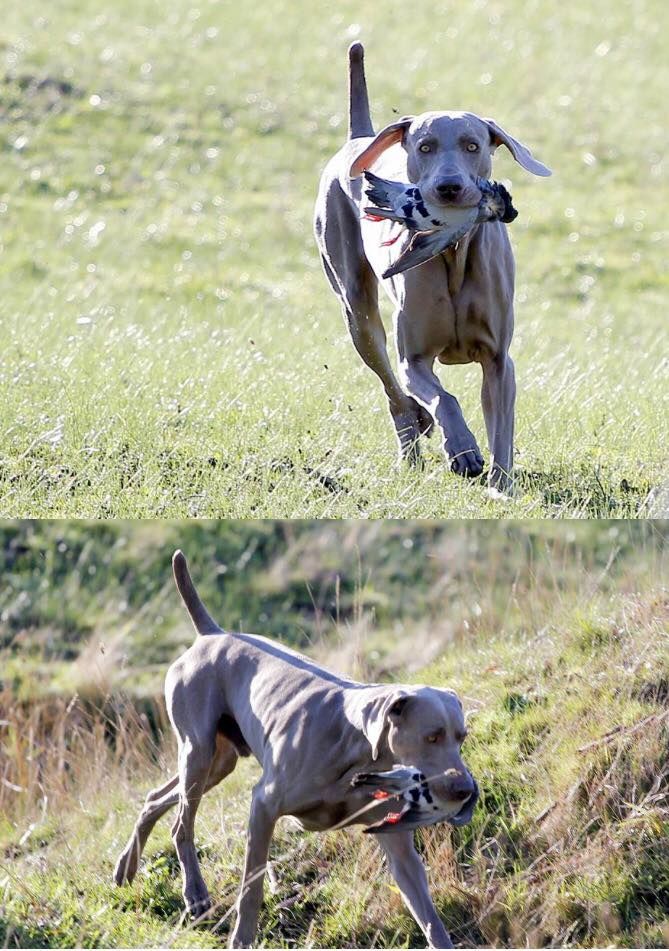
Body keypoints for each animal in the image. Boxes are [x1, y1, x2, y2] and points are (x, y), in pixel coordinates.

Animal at [113, 551, 478, 948]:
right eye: (432, 736)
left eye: (461, 736)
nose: (465, 790)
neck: (357, 754)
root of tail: (213, 633)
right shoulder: (263, 805)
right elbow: (252, 887)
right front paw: (242, 938)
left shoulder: (395, 839)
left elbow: (427, 911)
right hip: (198, 751)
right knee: (182, 821)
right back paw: (195, 894)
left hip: (219, 761)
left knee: (156, 796)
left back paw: (127, 867)